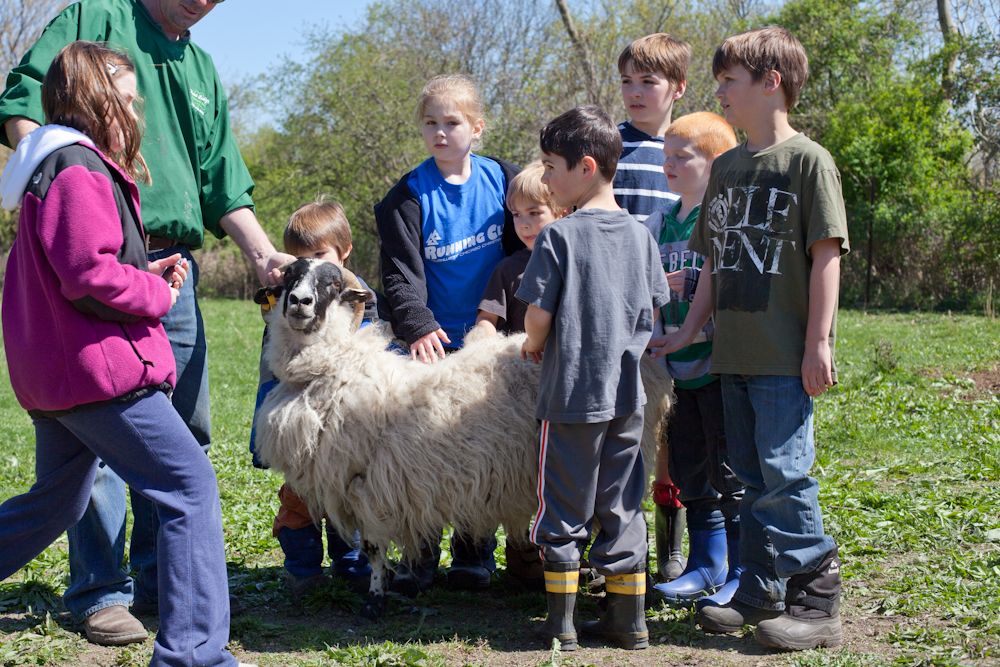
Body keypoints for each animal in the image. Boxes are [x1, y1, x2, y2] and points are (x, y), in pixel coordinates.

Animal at [254, 260, 676, 620]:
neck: (337, 368)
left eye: (331, 284)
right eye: (290, 276)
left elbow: (373, 548)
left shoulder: (368, 485)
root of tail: (648, 364)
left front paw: (375, 601)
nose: (299, 302)